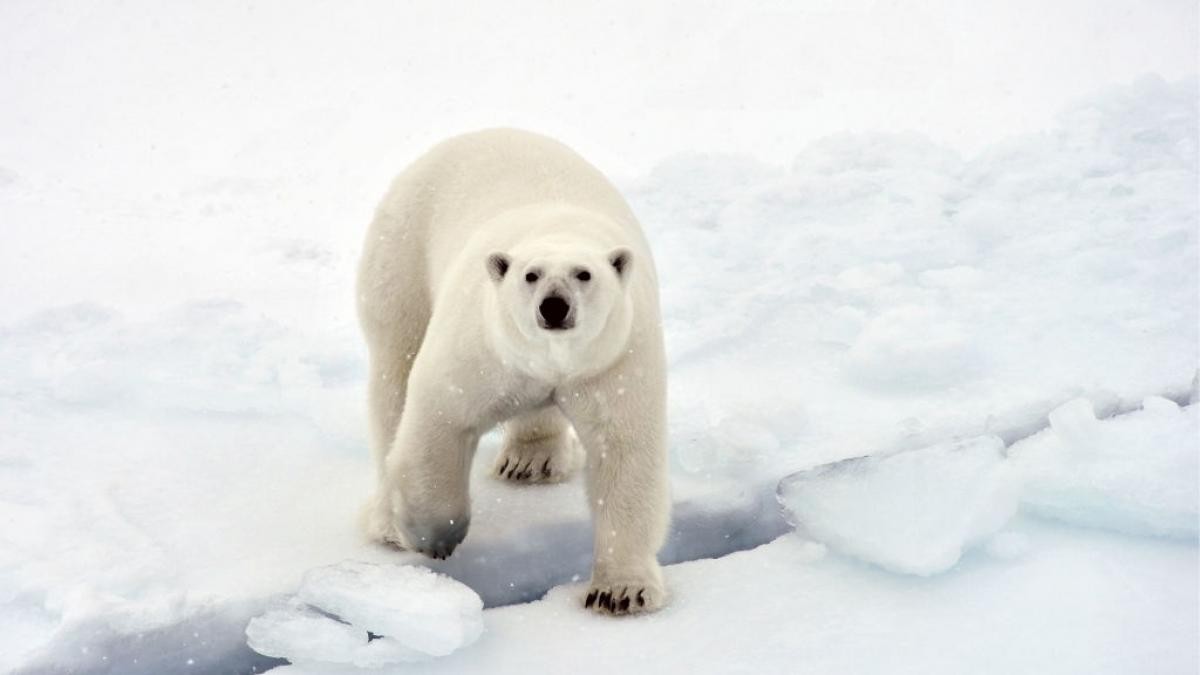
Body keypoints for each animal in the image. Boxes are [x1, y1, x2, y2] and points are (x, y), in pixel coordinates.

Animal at [356, 128, 670, 615]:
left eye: (584, 274)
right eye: (530, 275)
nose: (554, 306)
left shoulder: (613, 361)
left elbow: (625, 453)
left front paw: (620, 592)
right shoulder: (482, 347)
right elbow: (439, 417)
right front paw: (431, 537)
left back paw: (531, 461)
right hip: (402, 250)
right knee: (395, 370)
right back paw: (387, 521)